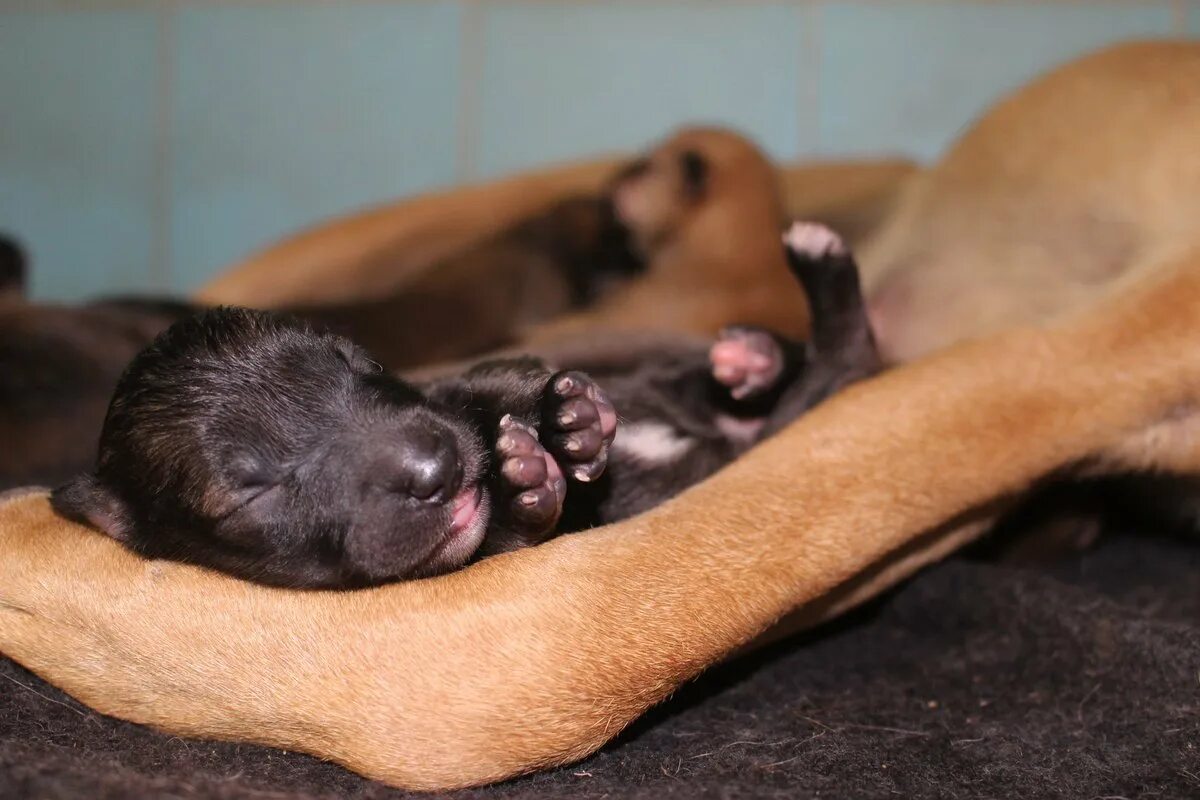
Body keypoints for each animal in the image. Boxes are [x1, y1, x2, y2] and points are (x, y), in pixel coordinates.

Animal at [51, 221, 878, 585]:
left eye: (355, 363)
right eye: (252, 492)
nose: (434, 467)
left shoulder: (453, 382)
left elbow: (484, 382)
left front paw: (571, 421)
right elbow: (510, 536)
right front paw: (531, 477)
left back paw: (750, 357)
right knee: (844, 367)